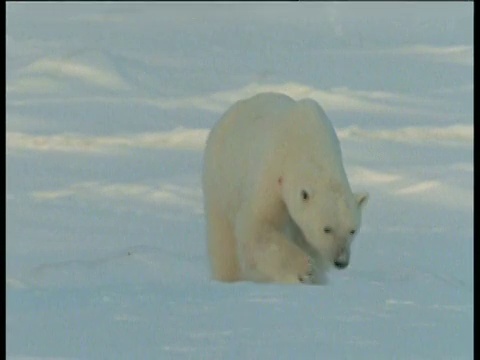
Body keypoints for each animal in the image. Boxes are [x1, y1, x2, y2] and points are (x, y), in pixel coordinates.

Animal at [201, 92, 370, 284]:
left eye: (352, 230)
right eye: (327, 229)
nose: (341, 261)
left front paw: (314, 276)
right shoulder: (272, 175)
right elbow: (258, 226)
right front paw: (305, 268)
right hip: (221, 180)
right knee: (223, 241)